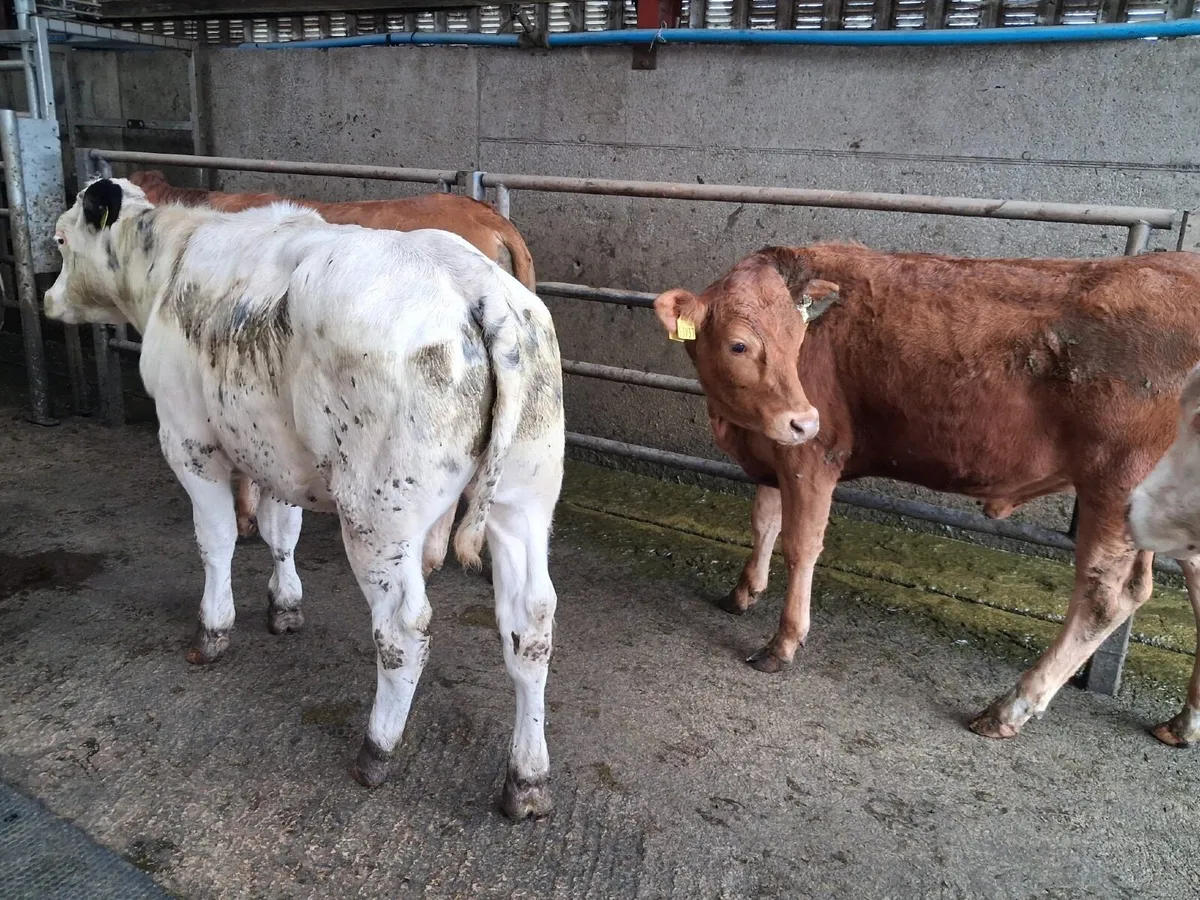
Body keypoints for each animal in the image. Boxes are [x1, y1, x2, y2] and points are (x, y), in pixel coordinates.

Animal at [653, 241, 1200, 742]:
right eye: (739, 345)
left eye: (798, 335)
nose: (805, 419)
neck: (735, 425)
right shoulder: (773, 447)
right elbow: (764, 521)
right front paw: (743, 593)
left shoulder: (813, 455)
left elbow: (801, 545)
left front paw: (783, 643)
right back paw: (1183, 722)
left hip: (1115, 484)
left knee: (1107, 597)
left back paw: (1009, 709)